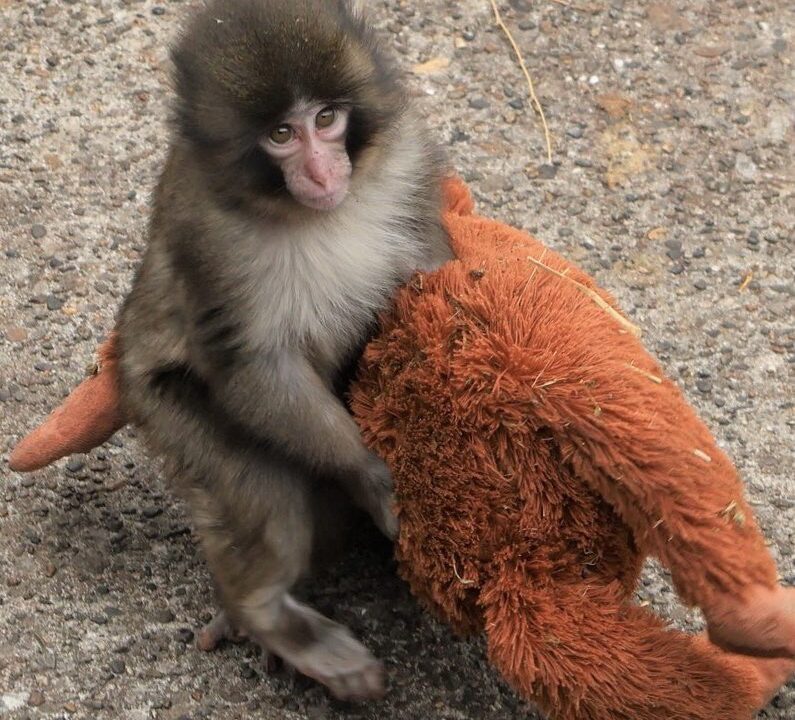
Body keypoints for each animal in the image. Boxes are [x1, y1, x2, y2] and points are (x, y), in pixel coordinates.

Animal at [115, 0, 452, 702]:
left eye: (325, 119)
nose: (323, 172)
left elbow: (431, 269)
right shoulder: (208, 235)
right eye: (280, 134)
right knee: (266, 493)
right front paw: (369, 473)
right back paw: (265, 614)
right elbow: (252, 366)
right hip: (162, 408)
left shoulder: (405, 163)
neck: (314, 214)